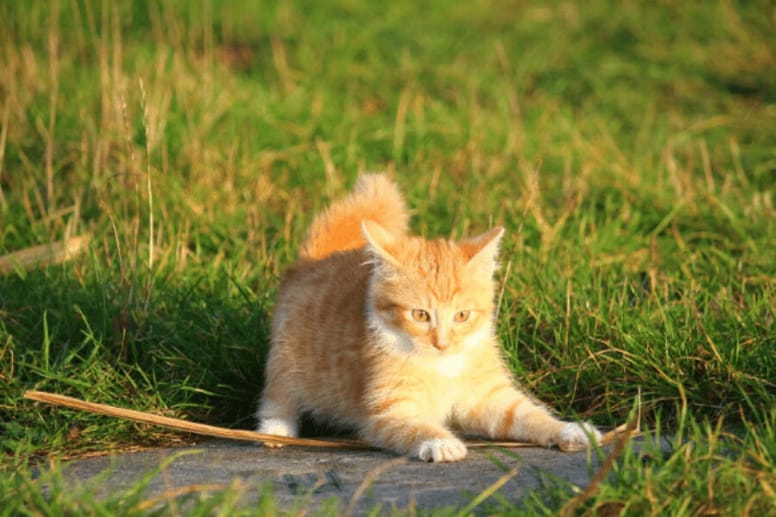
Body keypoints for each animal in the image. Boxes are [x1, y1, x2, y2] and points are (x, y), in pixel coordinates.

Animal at [258, 173, 604, 460]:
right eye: (420, 315)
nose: (442, 343)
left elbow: (526, 414)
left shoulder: (489, 397)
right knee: (278, 394)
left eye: (462, 315)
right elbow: (415, 426)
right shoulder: (389, 409)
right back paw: (275, 430)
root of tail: (312, 260)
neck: (443, 366)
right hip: (286, 355)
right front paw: (441, 442)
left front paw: (569, 429)